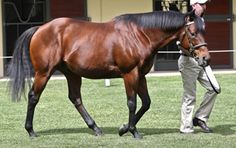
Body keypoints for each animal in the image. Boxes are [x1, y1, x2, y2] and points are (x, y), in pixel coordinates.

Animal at [7, 10, 210, 139]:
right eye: (193, 32)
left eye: (203, 30)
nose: (205, 57)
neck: (139, 34)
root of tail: (40, 28)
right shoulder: (130, 74)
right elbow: (132, 102)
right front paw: (133, 131)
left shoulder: (141, 75)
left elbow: (145, 103)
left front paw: (123, 128)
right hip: (44, 73)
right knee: (33, 97)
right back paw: (31, 131)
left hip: (72, 73)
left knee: (75, 98)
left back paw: (95, 128)